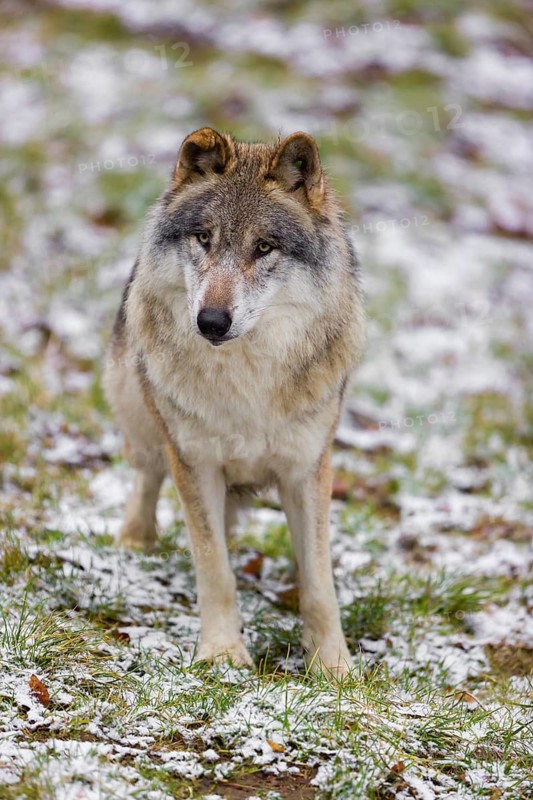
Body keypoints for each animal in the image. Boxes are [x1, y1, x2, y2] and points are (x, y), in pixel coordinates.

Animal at [104, 128, 365, 677]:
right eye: (204, 238)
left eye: (263, 247)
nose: (211, 321)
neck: (247, 383)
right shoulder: (195, 464)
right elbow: (215, 568)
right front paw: (223, 655)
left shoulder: (307, 469)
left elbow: (319, 584)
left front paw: (332, 667)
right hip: (138, 411)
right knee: (148, 472)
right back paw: (136, 538)